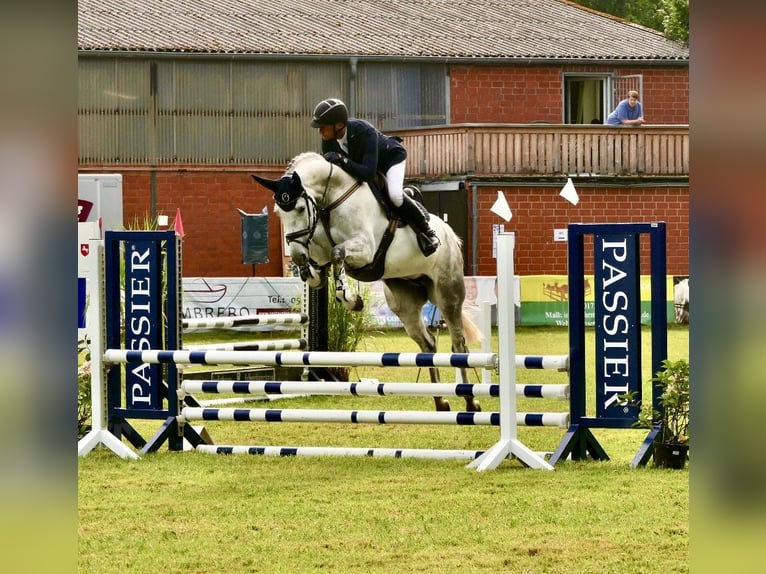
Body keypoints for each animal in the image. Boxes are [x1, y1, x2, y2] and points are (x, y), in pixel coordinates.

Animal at [255, 152, 484, 414]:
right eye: (278, 212)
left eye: (301, 208)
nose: (296, 255)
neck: (331, 200)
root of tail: (450, 235)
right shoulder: (318, 248)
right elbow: (319, 267)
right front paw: (314, 274)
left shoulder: (365, 249)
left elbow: (337, 253)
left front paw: (351, 299)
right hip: (404, 301)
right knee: (428, 345)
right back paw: (441, 401)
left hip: (448, 293)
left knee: (458, 344)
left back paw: (470, 400)